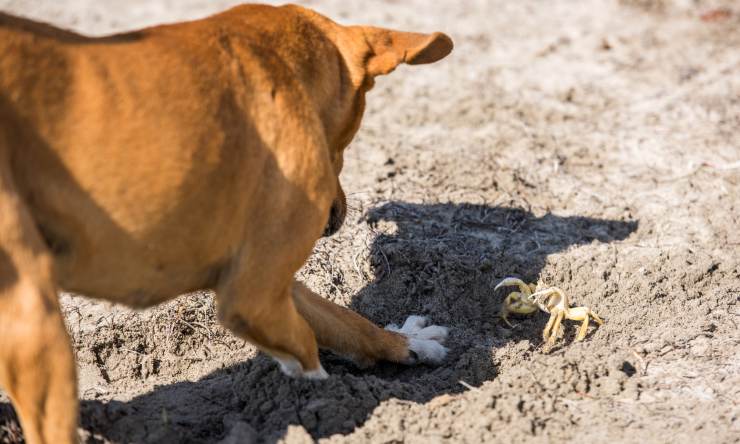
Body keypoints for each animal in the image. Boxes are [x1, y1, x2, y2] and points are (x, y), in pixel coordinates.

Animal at [0, 4, 450, 444]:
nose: (335, 213)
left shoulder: (265, 279)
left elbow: (344, 322)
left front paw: (409, 344)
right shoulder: (252, 298)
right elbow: (307, 345)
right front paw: (317, 396)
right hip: (32, 318)